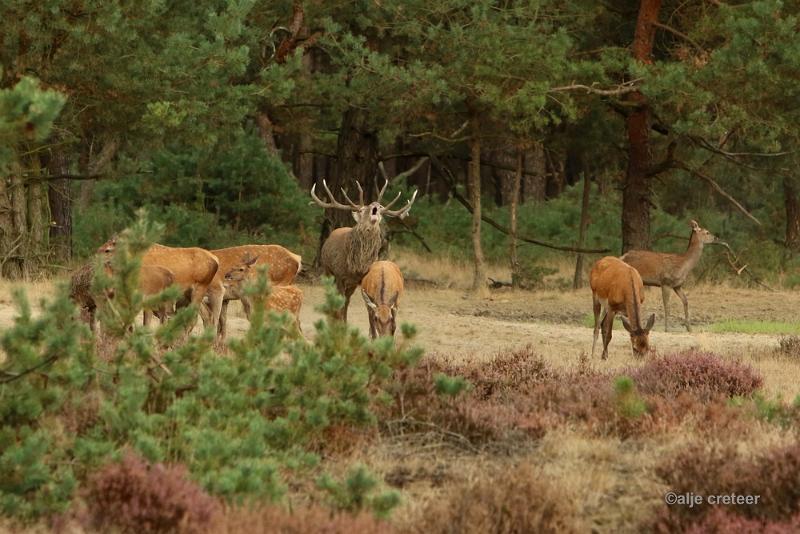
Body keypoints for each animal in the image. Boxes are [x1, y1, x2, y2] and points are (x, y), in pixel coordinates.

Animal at [310, 179, 416, 322]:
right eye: (362, 210)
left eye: (380, 209)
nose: (376, 205)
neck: (356, 265)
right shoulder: (339, 275)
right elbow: (339, 301)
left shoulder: (360, 279)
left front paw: (345, 322)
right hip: (327, 270)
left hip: (350, 284)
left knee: (347, 300)